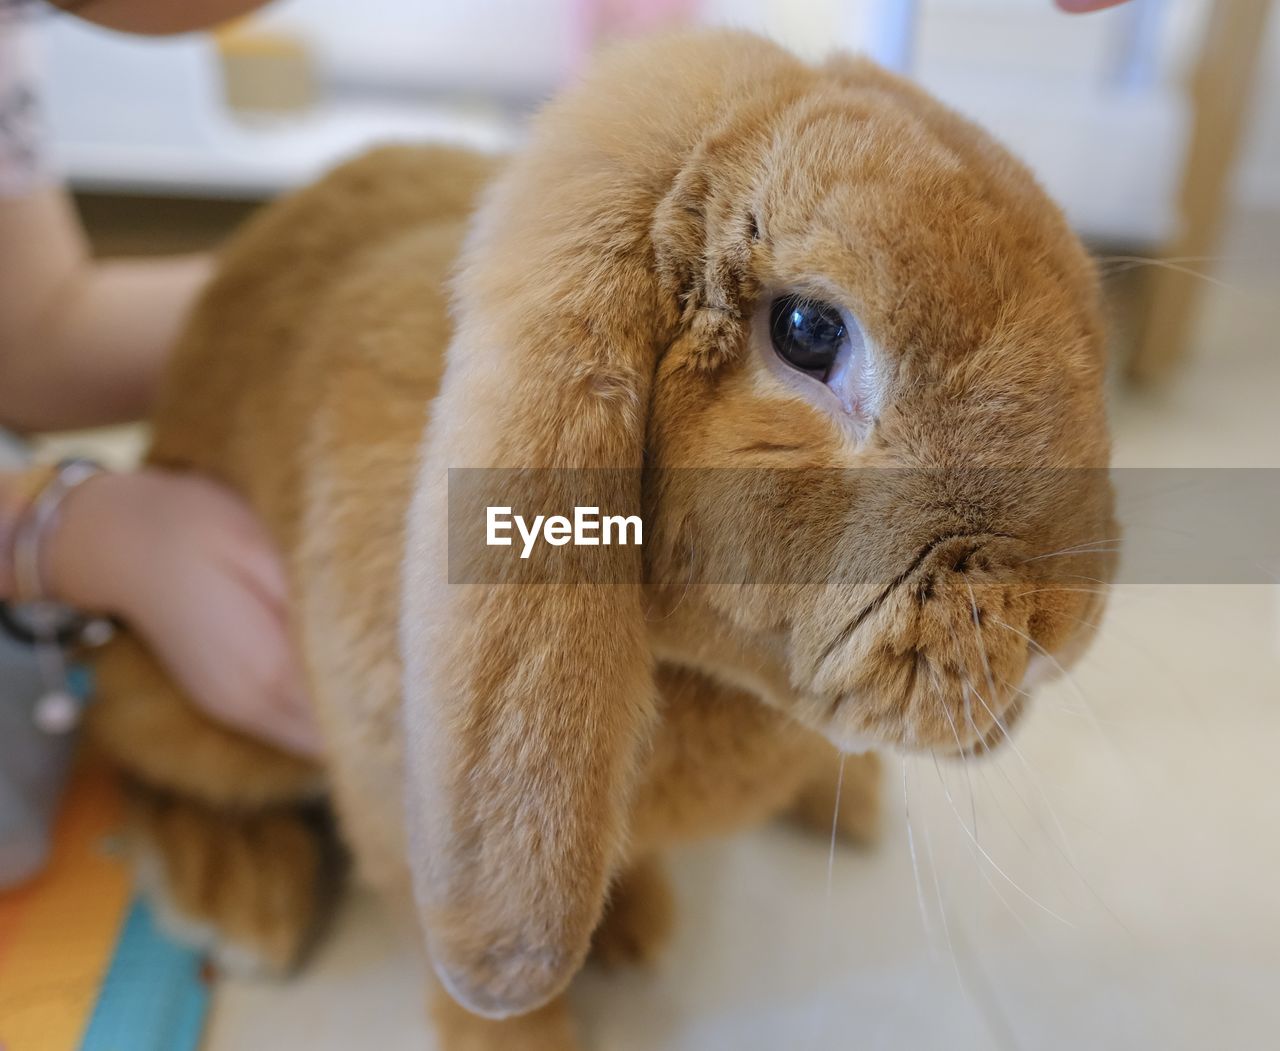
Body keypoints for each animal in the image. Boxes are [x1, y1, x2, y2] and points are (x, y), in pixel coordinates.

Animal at [90, 28, 1116, 1044]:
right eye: (808, 330)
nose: (1060, 635)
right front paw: (528, 1031)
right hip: (200, 708)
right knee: (130, 747)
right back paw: (240, 902)